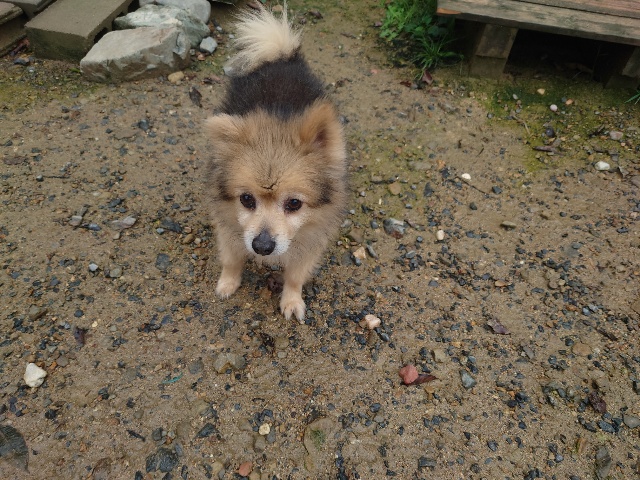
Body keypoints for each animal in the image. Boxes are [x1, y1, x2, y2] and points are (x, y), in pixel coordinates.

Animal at [205, 5, 348, 321]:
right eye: (246, 199)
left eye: (294, 204)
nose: (262, 246)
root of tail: (282, 56)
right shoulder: (230, 228)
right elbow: (231, 260)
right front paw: (228, 282)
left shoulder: (310, 242)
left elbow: (295, 276)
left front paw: (291, 300)